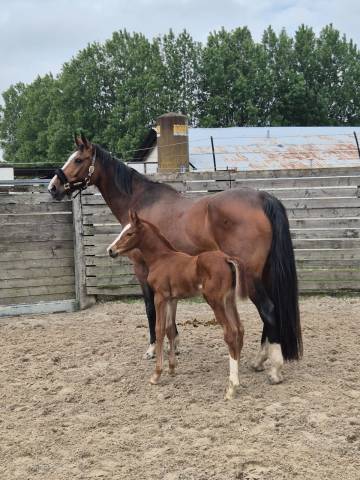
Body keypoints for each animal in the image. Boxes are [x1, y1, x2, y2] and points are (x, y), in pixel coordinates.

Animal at [106, 212, 250, 400]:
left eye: (129, 233)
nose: (111, 250)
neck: (161, 258)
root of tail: (227, 258)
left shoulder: (159, 297)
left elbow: (159, 329)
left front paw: (156, 375)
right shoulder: (172, 299)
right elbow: (170, 329)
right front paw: (172, 368)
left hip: (215, 301)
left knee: (231, 333)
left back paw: (232, 387)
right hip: (229, 300)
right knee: (239, 329)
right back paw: (238, 373)